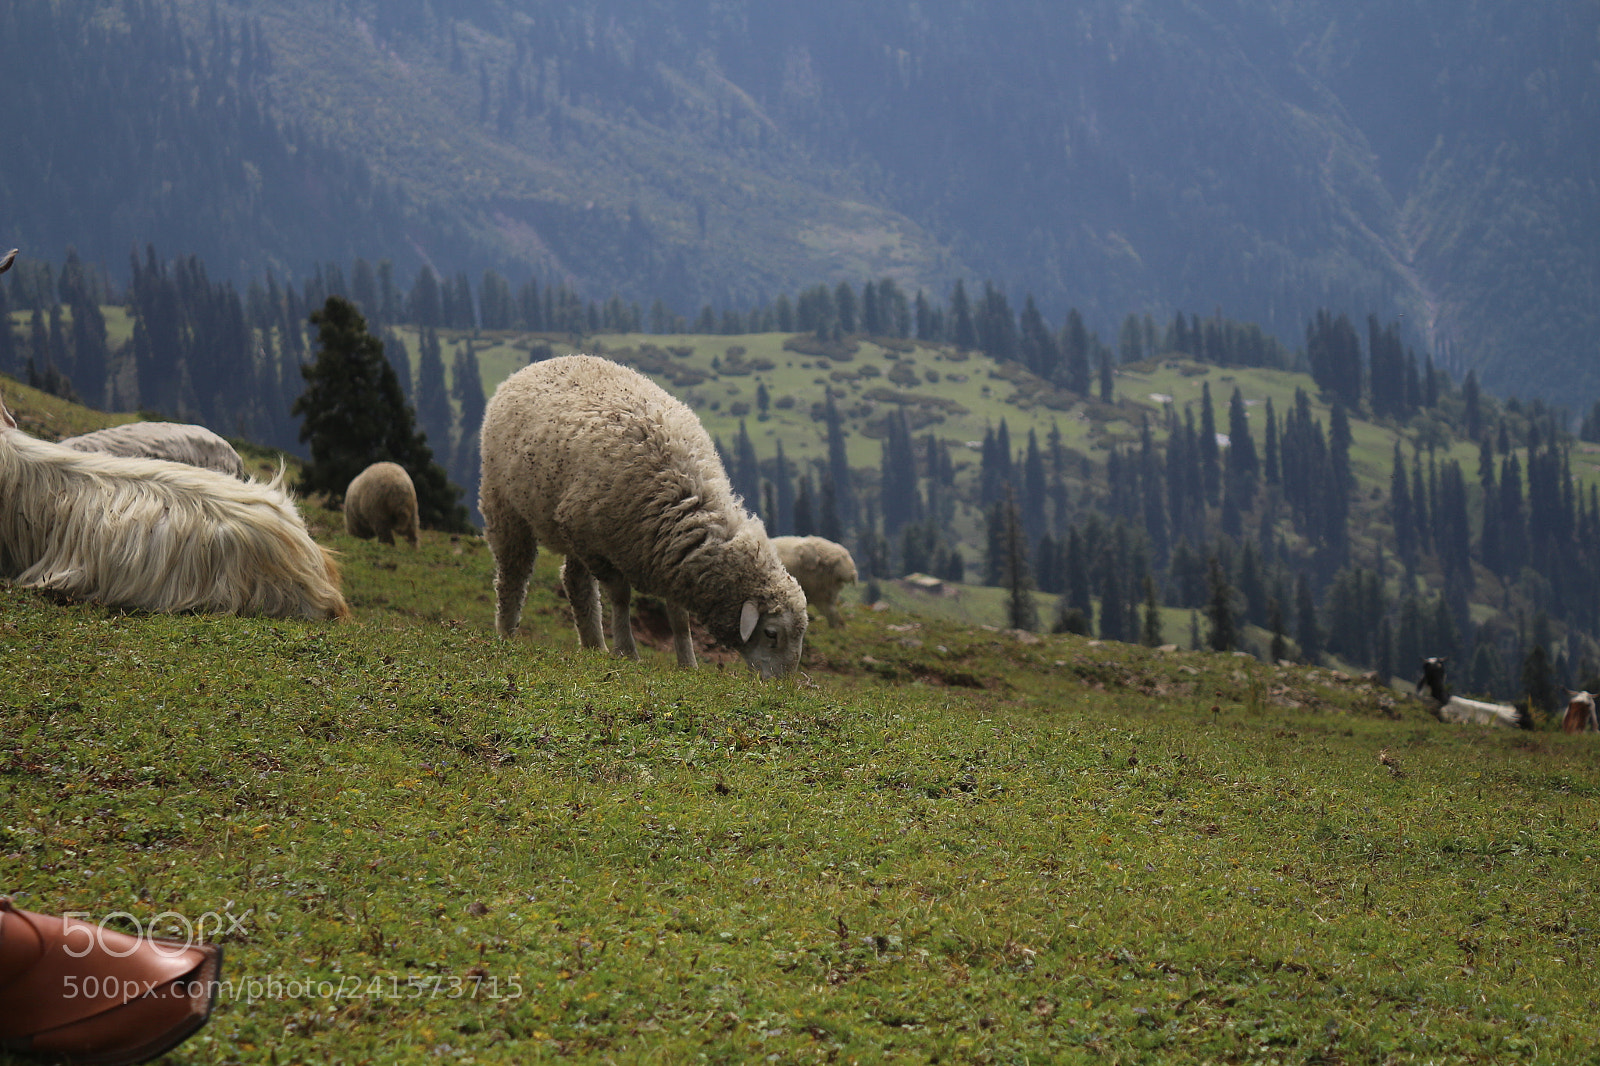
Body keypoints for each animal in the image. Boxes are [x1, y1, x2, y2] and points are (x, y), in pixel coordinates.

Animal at [479, 354, 807, 679]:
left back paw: (594, 646)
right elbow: (621, 598)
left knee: (575, 582)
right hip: (507, 505)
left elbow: (678, 617)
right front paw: (626, 651)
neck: (683, 496)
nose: (781, 685)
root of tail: (540, 364)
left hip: (571, 526)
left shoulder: (671, 557)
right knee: (514, 573)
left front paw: (688, 663)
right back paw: (507, 632)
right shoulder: (604, 550)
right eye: (771, 633)